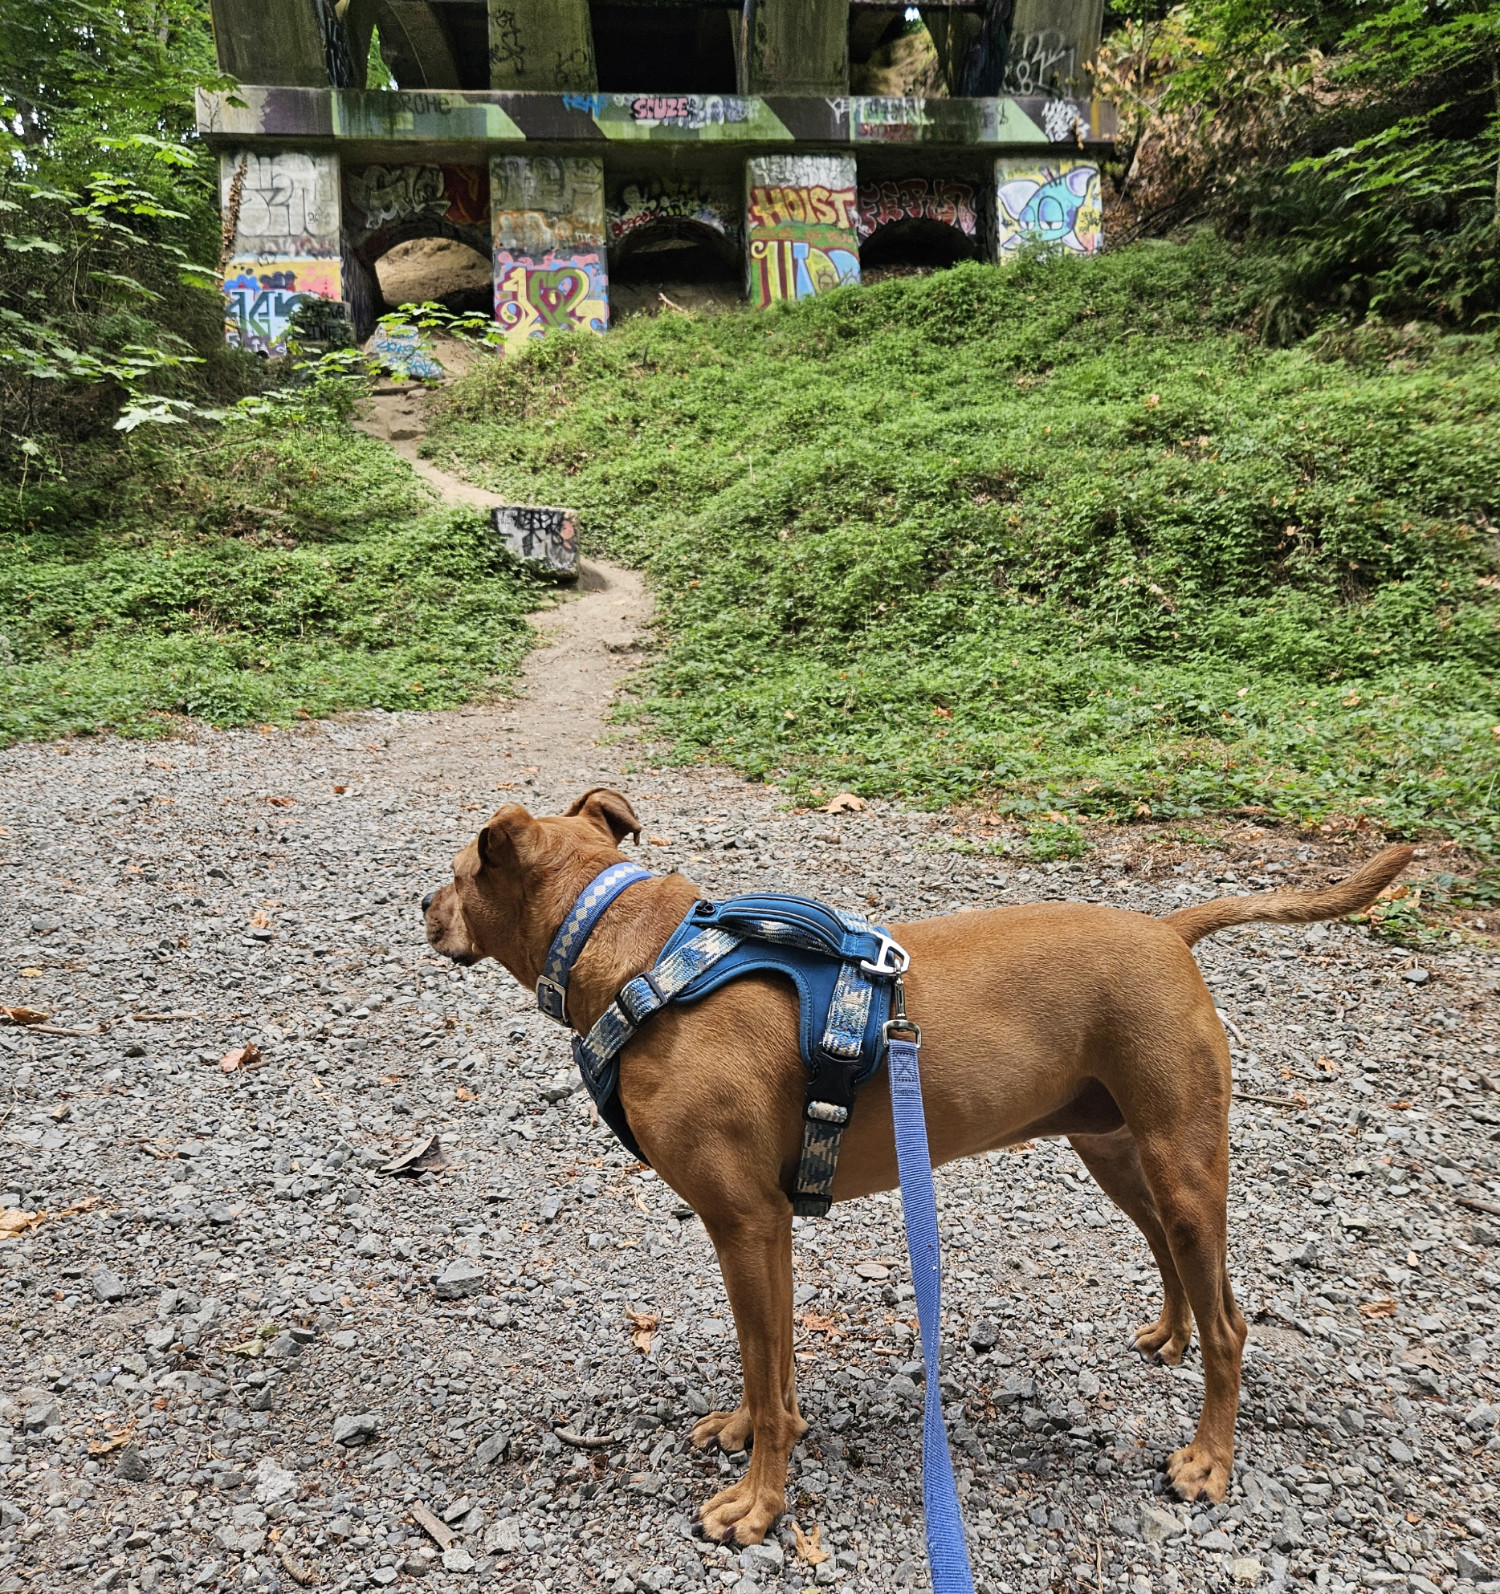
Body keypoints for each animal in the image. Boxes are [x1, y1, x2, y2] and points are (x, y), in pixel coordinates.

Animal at [417, 790, 1402, 1549]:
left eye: (460, 875)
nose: (421, 906)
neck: (642, 956)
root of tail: (1170, 931)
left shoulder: (743, 1222)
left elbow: (766, 1371)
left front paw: (758, 1506)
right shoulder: (766, 1230)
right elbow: (769, 1366)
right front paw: (746, 1431)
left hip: (1184, 1163)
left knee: (1233, 1323)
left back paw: (1209, 1462)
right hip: (1122, 1154)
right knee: (1179, 1263)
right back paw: (1171, 1334)